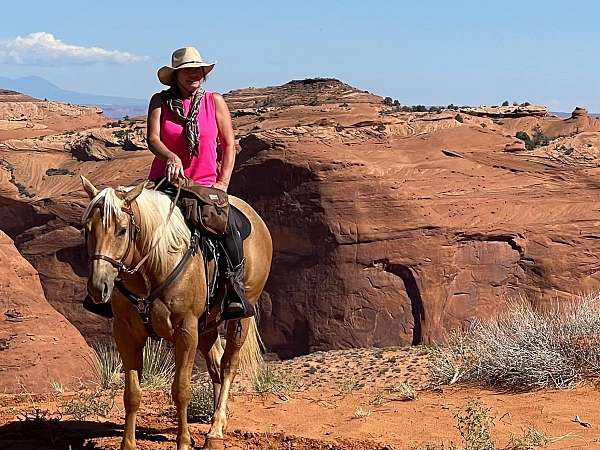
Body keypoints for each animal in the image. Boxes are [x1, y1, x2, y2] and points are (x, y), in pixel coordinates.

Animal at [81, 177, 274, 450]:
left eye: (122, 230)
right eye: (87, 229)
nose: (98, 287)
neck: (153, 267)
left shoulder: (186, 330)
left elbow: (181, 389)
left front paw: (183, 441)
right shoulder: (126, 332)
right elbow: (132, 393)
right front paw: (128, 444)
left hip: (241, 317)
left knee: (228, 366)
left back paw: (215, 432)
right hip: (208, 324)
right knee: (215, 365)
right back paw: (219, 420)